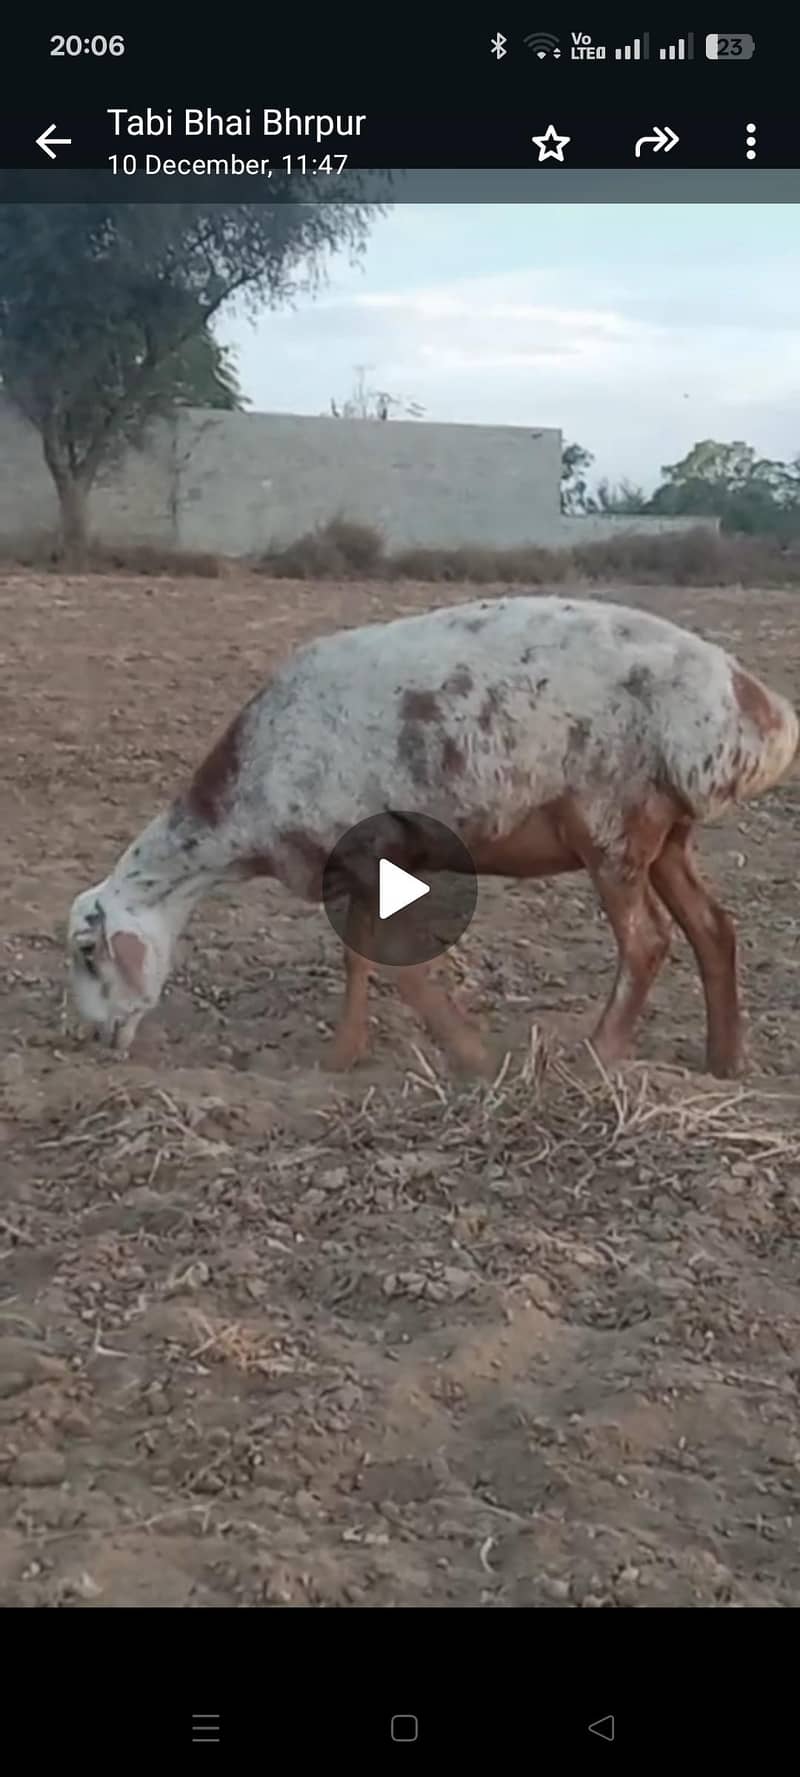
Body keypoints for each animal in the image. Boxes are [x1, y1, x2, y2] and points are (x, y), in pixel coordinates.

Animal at [66, 594, 798, 1078]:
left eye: (87, 953)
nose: (95, 1038)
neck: (237, 818)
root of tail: (753, 712)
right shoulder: (363, 864)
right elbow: (358, 956)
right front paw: (342, 1057)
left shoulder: (365, 850)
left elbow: (394, 962)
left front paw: (473, 1056)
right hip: (666, 831)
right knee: (713, 928)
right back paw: (725, 1062)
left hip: (611, 820)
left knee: (647, 941)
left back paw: (597, 1056)